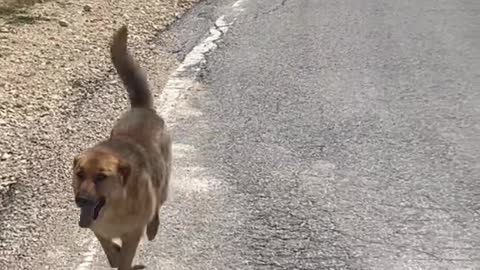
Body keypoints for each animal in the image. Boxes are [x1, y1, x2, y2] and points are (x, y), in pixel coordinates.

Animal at [70, 24, 170, 268]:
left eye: (101, 177)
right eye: (79, 174)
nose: (81, 200)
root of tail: (142, 109)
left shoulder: (132, 234)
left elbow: (124, 259)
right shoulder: (98, 228)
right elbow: (110, 250)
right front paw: (113, 253)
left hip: (162, 184)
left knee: (157, 207)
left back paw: (153, 227)